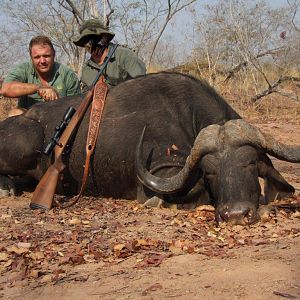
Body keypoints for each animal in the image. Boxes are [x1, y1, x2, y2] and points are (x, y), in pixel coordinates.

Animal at [0, 72, 298, 223]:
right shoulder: (163, 171)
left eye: (250, 163)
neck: (185, 113)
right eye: (210, 172)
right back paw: (7, 187)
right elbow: (198, 191)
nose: (236, 214)